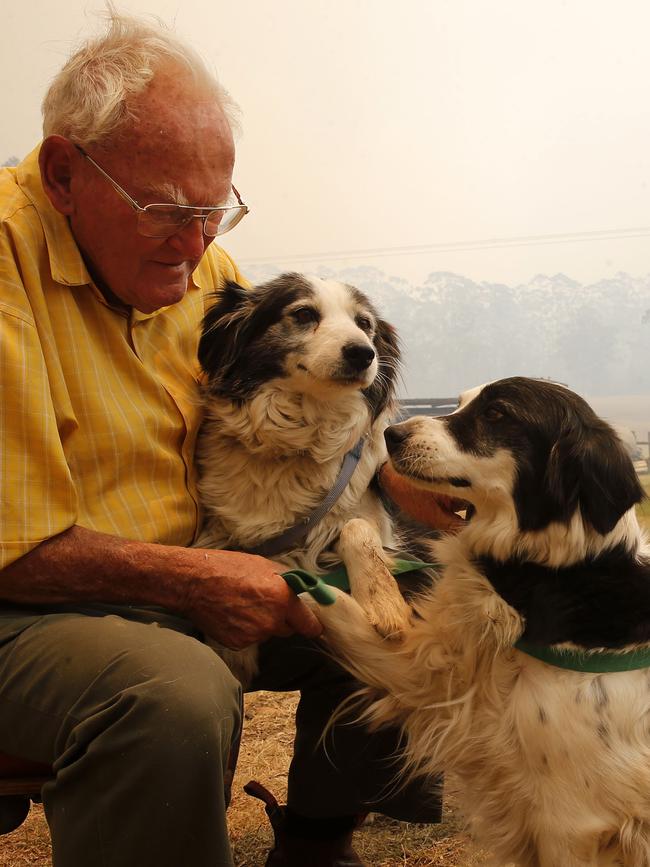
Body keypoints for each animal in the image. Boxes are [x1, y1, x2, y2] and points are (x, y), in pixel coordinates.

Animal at [314, 378, 648, 867]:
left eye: (496, 414)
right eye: (459, 403)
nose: (391, 435)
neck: (555, 574)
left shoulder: (572, 822)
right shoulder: (435, 679)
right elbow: (334, 589)